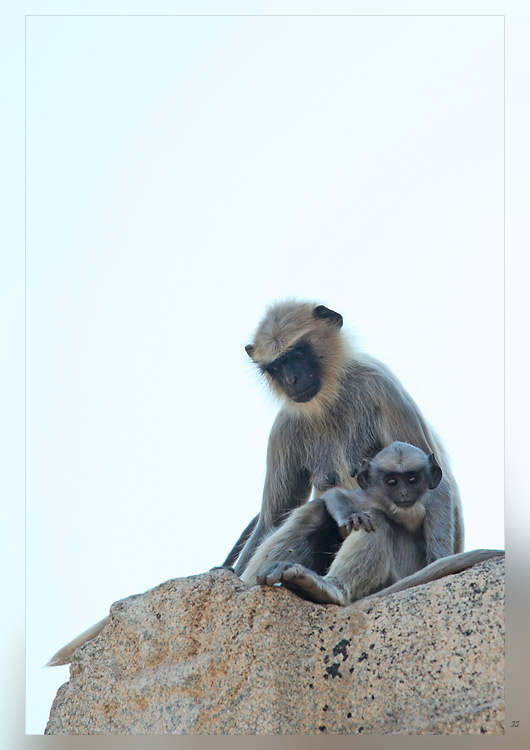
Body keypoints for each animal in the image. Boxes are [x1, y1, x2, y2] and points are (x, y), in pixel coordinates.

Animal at [225, 300, 464, 576]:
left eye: (297, 355)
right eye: (276, 366)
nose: (291, 380)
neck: (330, 400)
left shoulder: (382, 387)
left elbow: (437, 484)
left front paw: (440, 558)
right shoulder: (284, 426)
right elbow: (271, 520)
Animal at [240, 442, 504, 605]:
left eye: (412, 479)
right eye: (391, 481)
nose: (404, 494)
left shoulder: (440, 493)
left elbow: (439, 556)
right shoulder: (371, 493)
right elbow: (335, 497)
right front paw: (348, 515)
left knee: (376, 520)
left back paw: (329, 589)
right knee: (318, 512)